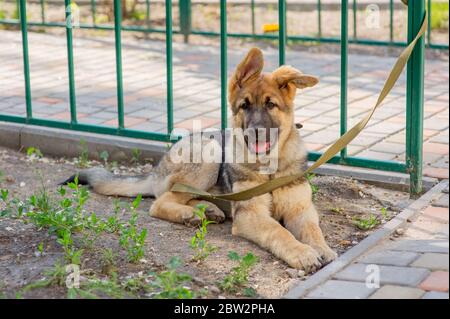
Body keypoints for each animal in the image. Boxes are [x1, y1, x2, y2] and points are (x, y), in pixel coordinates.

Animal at [64, 48, 338, 274]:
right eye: (244, 106)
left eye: (271, 105)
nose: (255, 133)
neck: (271, 169)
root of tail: (157, 169)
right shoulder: (251, 215)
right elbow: (279, 232)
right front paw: (302, 253)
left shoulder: (301, 210)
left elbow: (313, 230)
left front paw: (321, 249)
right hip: (210, 152)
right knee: (161, 201)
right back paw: (190, 213)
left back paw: (206, 209)